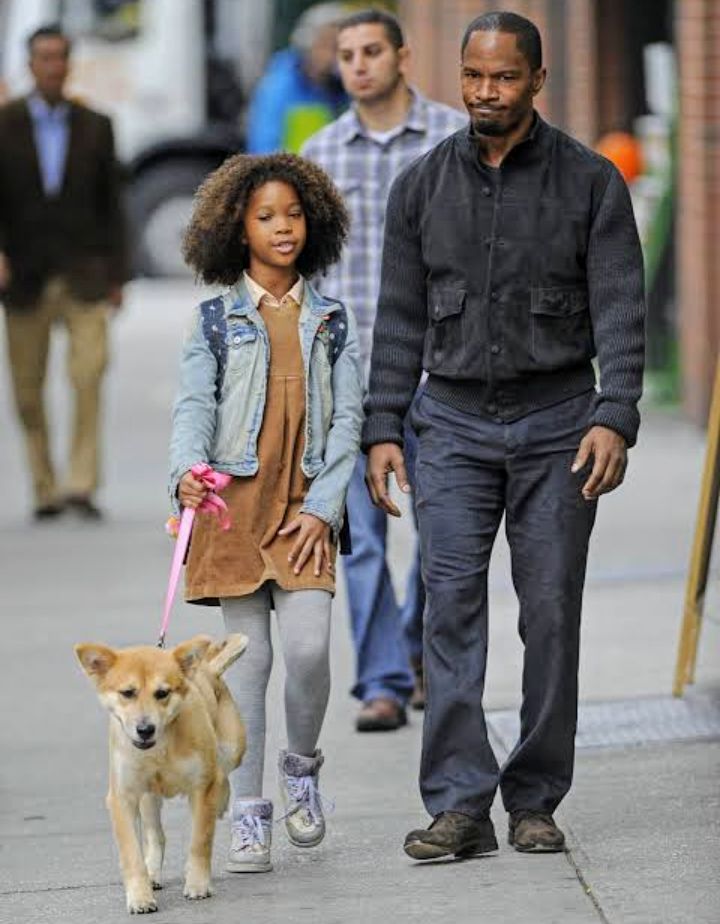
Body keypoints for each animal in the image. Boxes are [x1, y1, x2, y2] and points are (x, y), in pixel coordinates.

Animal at [74, 632, 246, 912]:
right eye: (128, 693)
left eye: (162, 693)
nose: (145, 729)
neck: (161, 747)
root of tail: (207, 669)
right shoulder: (122, 796)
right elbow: (132, 853)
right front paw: (139, 897)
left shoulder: (201, 787)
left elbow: (200, 841)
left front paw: (198, 885)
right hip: (148, 797)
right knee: (156, 836)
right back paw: (152, 873)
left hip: (233, 748)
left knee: (223, 774)